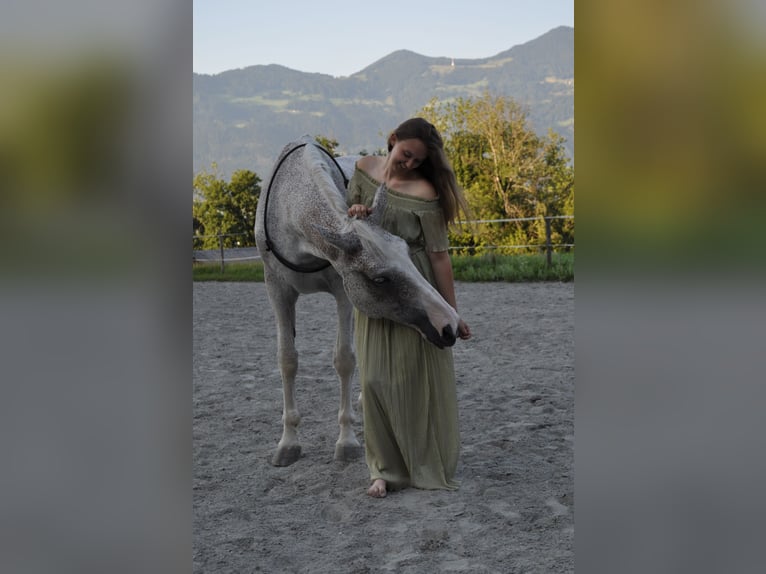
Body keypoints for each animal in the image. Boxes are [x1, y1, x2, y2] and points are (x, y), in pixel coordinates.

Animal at [255, 136, 460, 466]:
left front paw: (346, 441)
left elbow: (345, 359)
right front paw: (288, 443)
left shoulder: (343, 291)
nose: (449, 325)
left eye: (406, 251)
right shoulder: (277, 289)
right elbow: (287, 359)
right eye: (379, 279)